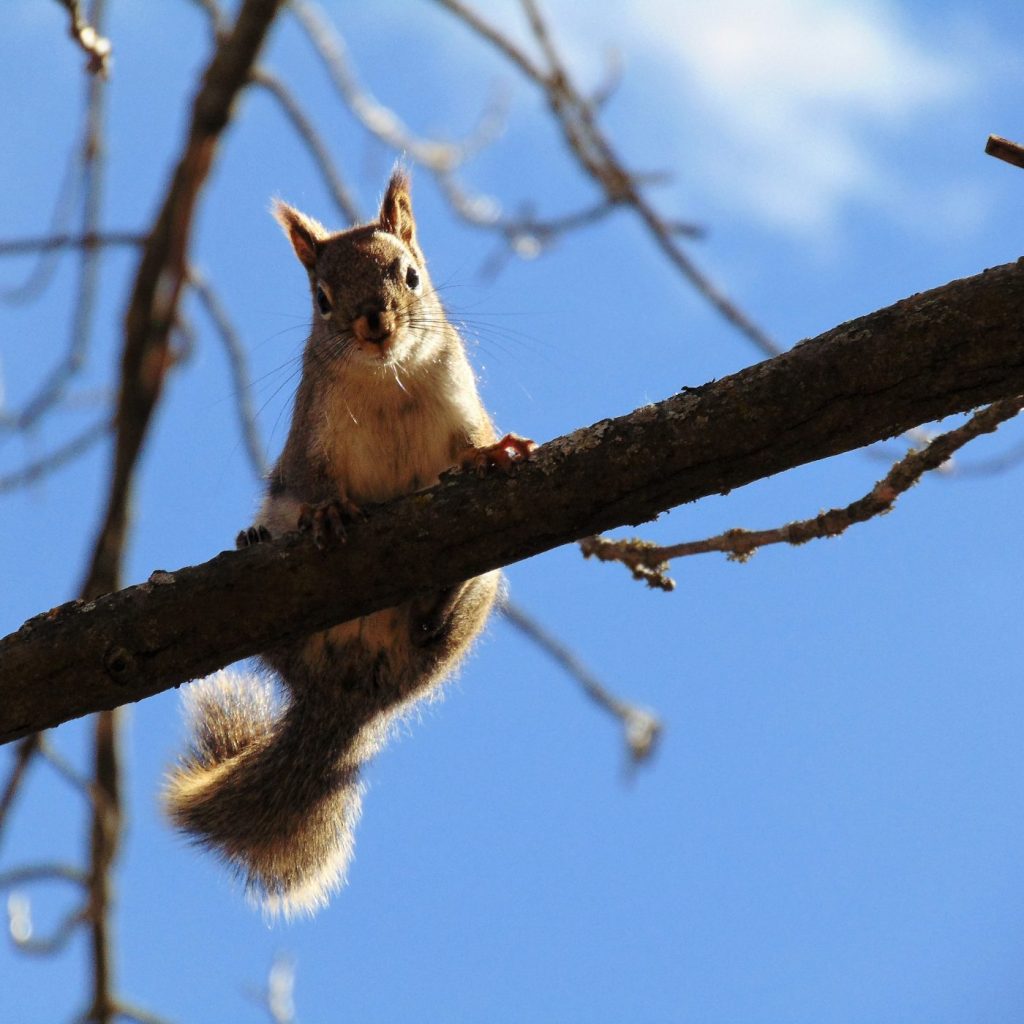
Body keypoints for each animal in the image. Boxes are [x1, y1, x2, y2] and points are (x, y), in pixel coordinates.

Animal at [163, 171, 534, 917]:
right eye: (322, 299)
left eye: (411, 275)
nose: (375, 322)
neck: (387, 379)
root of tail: (346, 695)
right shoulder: (311, 443)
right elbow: (317, 484)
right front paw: (330, 510)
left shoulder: (461, 407)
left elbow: (472, 445)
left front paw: (489, 457)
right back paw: (256, 534)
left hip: (480, 593)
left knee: (437, 621)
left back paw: (436, 604)